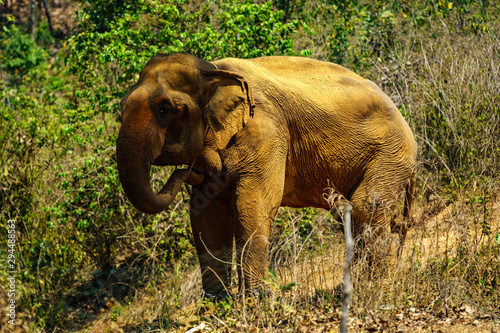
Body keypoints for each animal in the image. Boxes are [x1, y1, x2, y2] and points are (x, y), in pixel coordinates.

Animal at [117, 52, 418, 296]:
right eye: (121, 109)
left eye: (165, 109)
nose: (185, 172)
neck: (211, 69)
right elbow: (206, 216)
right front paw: (217, 304)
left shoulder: (267, 131)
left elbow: (253, 204)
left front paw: (256, 301)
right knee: (351, 211)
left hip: (390, 153)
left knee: (367, 205)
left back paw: (373, 284)